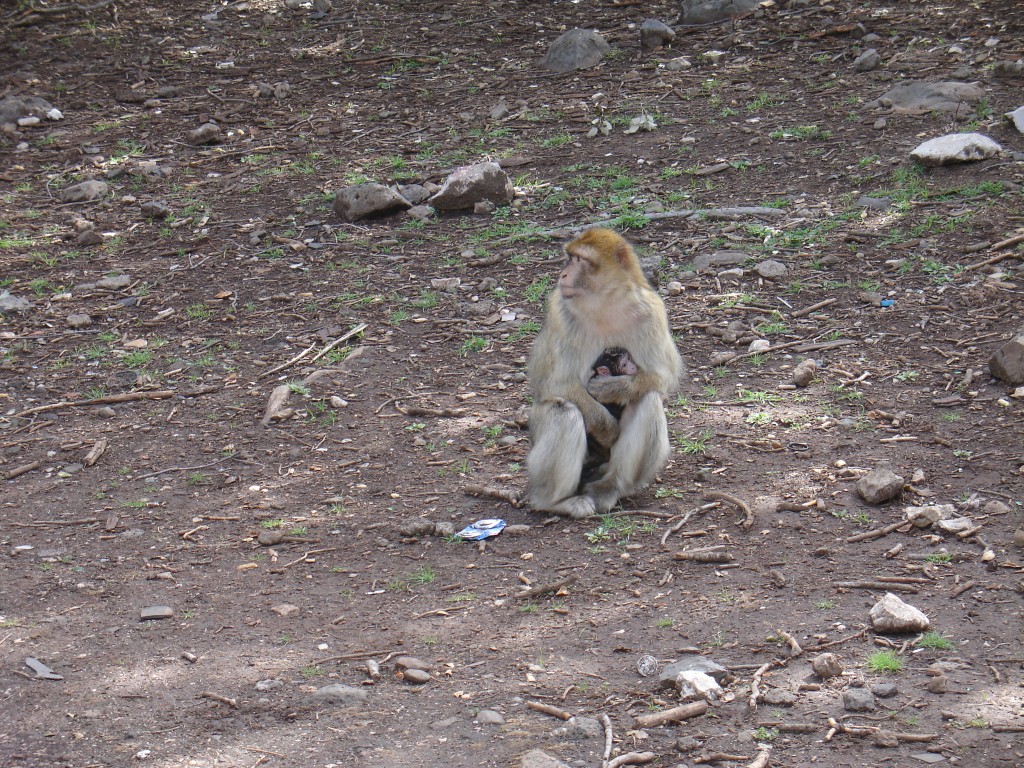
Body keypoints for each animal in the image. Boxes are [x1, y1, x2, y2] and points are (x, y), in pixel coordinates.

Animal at [528, 225, 679, 520]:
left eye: (579, 260)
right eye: (570, 258)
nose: (563, 274)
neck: (603, 303)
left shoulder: (652, 312)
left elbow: (663, 377)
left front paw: (612, 388)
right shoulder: (561, 313)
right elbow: (557, 384)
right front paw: (607, 428)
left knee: (648, 399)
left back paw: (609, 487)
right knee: (564, 412)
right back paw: (555, 502)